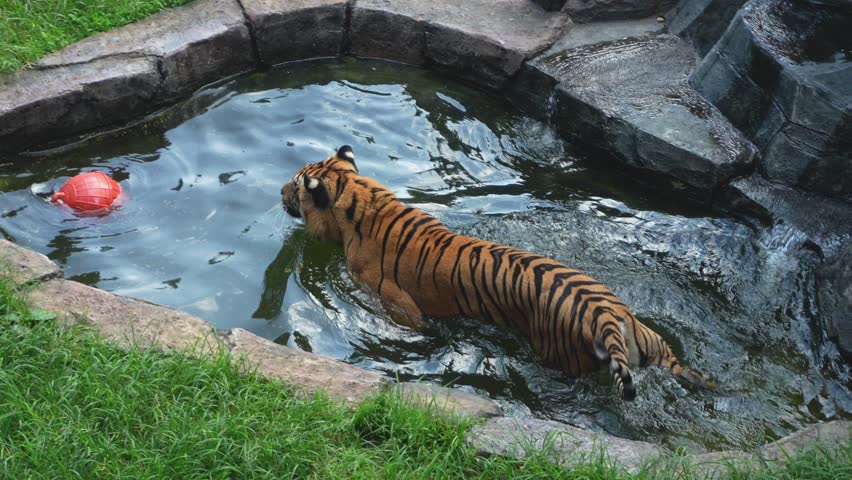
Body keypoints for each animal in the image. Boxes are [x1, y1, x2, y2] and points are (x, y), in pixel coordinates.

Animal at [280, 145, 716, 400]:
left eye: (295, 185)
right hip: (651, 342)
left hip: (559, 354)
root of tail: (609, 314)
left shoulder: (394, 301)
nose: (280, 193)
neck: (361, 200)